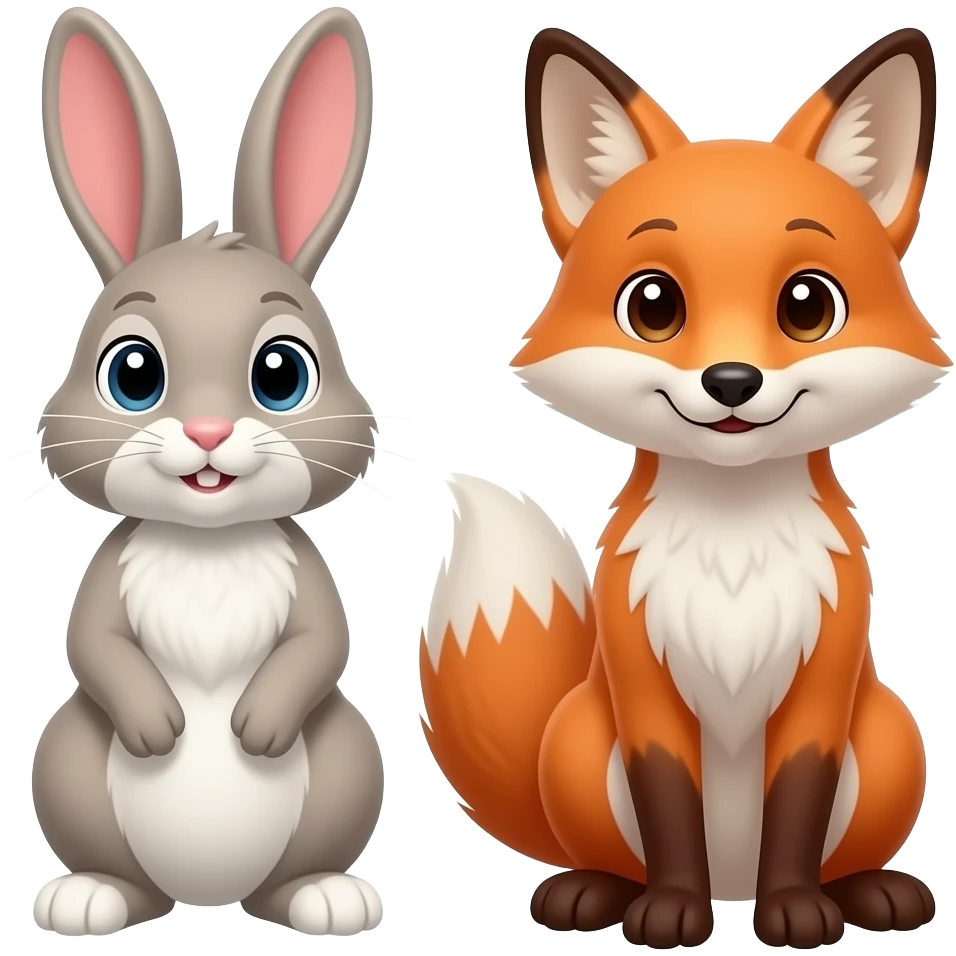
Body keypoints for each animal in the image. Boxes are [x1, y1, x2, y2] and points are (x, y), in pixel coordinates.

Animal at [32, 5, 385, 938]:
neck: (208, 544)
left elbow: (321, 645)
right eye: (132, 375)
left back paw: (322, 896)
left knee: (294, 871)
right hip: (67, 762)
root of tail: (207, 897)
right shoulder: (107, 577)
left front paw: (257, 725)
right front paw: (158, 725)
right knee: (120, 871)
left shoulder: (309, 581)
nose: (207, 430)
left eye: (282, 375)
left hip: (347, 761)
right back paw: (92, 896)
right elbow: (93, 645)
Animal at [417, 26, 948, 951]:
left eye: (807, 306)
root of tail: (732, 881)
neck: (732, 548)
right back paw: (593, 892)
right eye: (654, 305)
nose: (731, 381)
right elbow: (668, 803)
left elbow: (797, 807)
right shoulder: (641, 687)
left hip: (886, 738)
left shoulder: (824, 685)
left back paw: (868, 892)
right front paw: (669, 911)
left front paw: (795, 911)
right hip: (581, 742)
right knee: (604, 855)